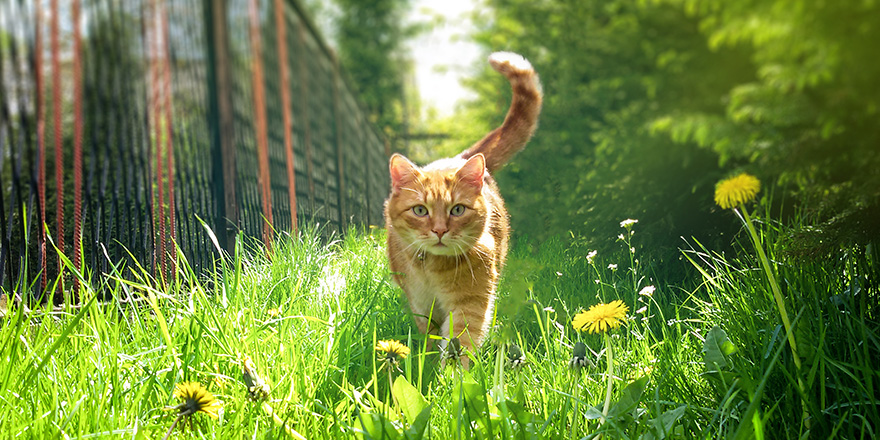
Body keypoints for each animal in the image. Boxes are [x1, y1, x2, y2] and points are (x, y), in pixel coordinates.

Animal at [384, 51, 544, 364]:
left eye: (457, 210)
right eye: (420, 210)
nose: (439, 231)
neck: (432, 269)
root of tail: (457, 157)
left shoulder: (470, 301)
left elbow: (460, 343)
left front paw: (453, 374)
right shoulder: (421, 305)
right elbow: (430, 338)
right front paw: (427, 363)